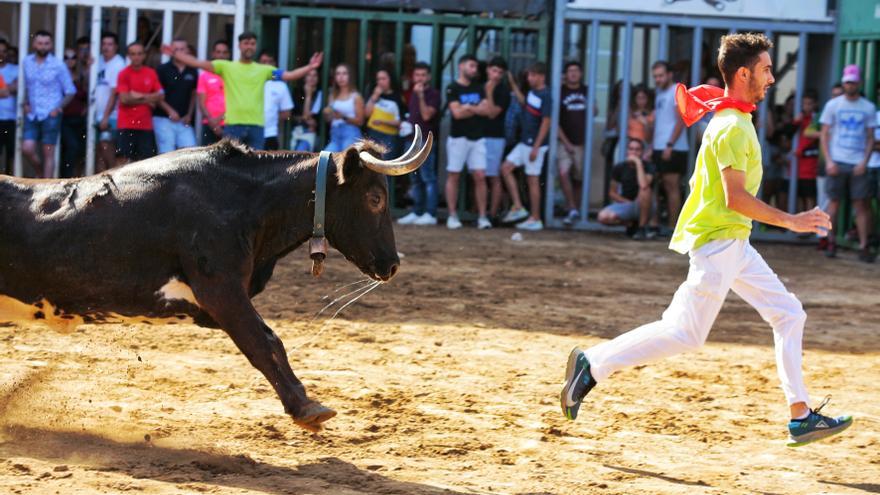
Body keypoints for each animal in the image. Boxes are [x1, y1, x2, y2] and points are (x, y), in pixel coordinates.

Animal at [0, 126, 434, 432]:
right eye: (375, 198)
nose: (392, 265)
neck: (244, 200)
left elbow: (268, 341)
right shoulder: (221, 292)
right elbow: (263, 343)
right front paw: (307, 407)